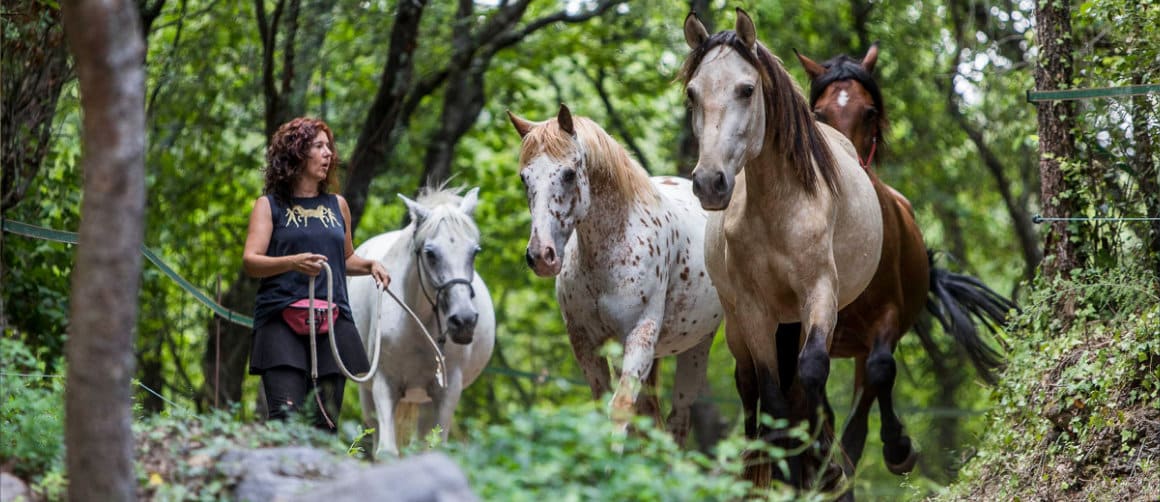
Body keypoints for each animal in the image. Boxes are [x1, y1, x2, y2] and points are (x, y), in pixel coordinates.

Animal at [347, 185, 495, 459]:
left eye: (474, 252)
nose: (464, 320)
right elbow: (386, 451)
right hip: (368, 392)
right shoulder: (384, 383)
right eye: (430, 253)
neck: (419, 329)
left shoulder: (447, 392)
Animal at [507, 104, 723, 446]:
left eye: (569, 173)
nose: (541, 256)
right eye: (524, 177)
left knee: (676, 421)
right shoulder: (585, 342)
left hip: (696, 348)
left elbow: (620, 408)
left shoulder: (637, 336)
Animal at [681, 9, 886, 493]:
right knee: (750, 386)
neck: (779, 210)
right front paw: (791, 468)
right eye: (692, 94)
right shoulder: (755, 311)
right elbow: (771, 392)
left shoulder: (819, 293)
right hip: (742, 324)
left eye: (746, 89)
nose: (710, 183)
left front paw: (826, 466)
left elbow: (810, 373)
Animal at [794, 42, 1015, 472]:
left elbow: (879, 375)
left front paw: (897, 446)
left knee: (868, 392)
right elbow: (818, 396)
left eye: (869, 111)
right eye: (819, 114)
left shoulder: (886, 318)